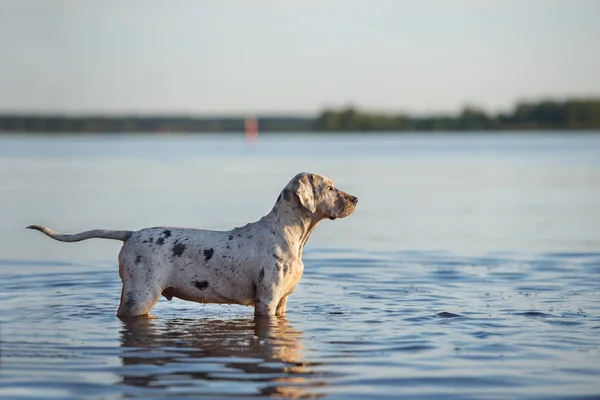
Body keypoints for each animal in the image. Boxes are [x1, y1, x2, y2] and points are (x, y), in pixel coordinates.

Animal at [27, 173, 356, 318]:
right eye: (329, 187)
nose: (355, 199)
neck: (290, 234)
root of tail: (131, 233)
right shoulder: (267, 300)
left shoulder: (282, 302)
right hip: (141, 295)